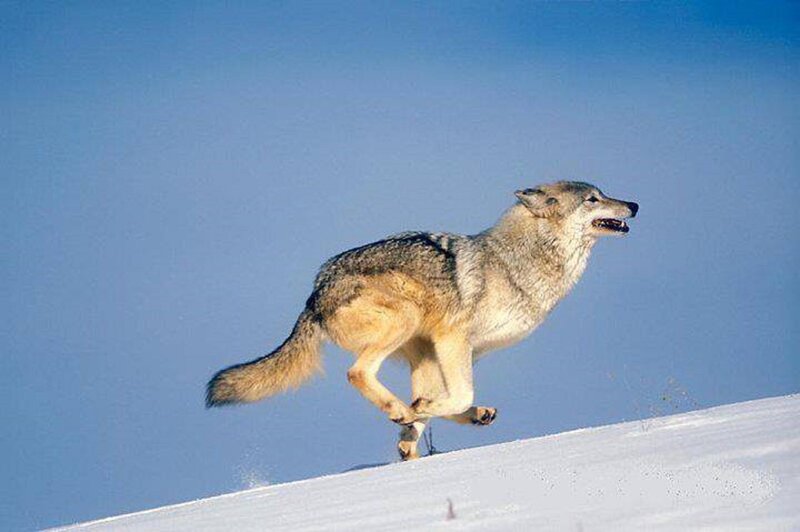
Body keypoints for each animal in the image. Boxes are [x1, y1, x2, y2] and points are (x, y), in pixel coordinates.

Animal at [206, 181, 638, 460]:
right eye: (593, 199)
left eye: (603, 194)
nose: (634, 204)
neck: (514, 264)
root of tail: (314, 292)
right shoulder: (452, 339)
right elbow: (457, 394)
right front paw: (417, 412)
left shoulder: (454, 351)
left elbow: (449, 400)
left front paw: (421, 424)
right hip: (406, 320)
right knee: (358, 373)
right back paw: (403, 410)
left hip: (418, 349)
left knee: (415, 408)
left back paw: (425, 426)